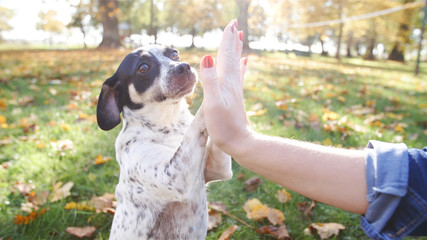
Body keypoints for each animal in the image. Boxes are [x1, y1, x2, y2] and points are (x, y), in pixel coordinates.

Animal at [96, 45, 232, 240]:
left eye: (174, 54)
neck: (170, 124)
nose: (184, 67)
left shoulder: (217, 169)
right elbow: (198, 119)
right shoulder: (173, 176)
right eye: (143, 67)